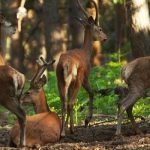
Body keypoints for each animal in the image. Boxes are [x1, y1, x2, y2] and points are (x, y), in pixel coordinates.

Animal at [56, 0, 106, 136]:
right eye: (99, 28)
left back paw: (63, 130)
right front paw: (87, 120)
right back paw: (69, 130)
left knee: (63, 102)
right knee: (71, 102)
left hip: (60, 79)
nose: (105, 37)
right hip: (76, 78)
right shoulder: (85, 77)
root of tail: (65, 64)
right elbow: (92, 93)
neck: (86, 53)